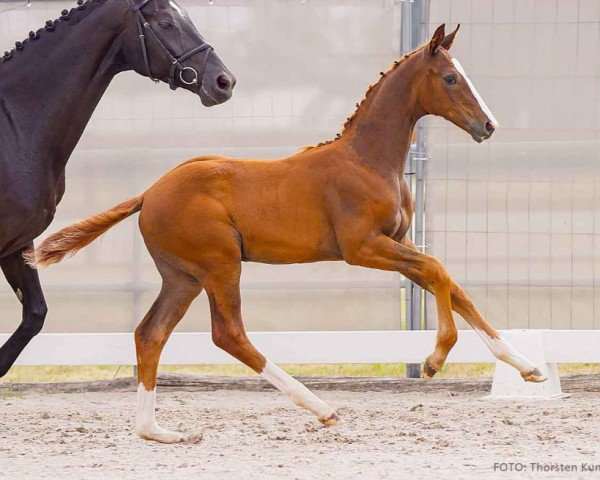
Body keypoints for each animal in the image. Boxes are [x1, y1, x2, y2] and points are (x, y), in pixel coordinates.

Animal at [28, 25, 548, 442]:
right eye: (450, 78)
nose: (488, 125)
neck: (368, 160)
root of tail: (149, 193)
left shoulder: (398, 243)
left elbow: (453, 285)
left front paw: (528, 367)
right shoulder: (363, 248)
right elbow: (440, 272)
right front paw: (435, 359)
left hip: (183, 277)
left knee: (150, 333)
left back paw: (156, 431)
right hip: (219, 266)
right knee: (229, 335)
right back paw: (322, 408)